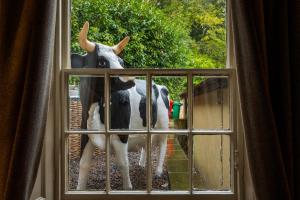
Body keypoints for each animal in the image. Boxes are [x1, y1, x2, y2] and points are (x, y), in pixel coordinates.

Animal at [70, 22, 169, 190]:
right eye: (101, 62)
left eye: (121, 62)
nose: (129, 78)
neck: (97, 108)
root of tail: (160, 86)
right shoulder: (86, 134)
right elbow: (83, 164)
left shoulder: (121, 135)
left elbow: (123, 164)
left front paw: (128, 187)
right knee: (147, 144)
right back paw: (143, 164)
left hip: (163, 124)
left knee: (162, 145)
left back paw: (158, 171)